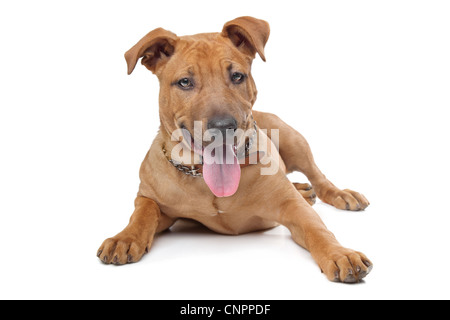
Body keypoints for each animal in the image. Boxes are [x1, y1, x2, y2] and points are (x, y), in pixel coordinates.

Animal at [97, 16, 372, 282]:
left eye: (237, 76)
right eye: (185, 82)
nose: (224, 126)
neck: (202, 178)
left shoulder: (293, 209)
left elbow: (317, 228)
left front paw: (339, 254)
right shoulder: (151, 198)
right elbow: (143, 213)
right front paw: (125, 238)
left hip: (293, 139)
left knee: (319, 177)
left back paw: (339, 194)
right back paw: (303, 189)